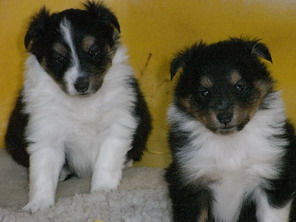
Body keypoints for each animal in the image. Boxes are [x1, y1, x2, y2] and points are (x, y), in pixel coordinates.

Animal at [5, 1, 151, 213]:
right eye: (59, 58)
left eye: (93, 51)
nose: (81, 85)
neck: (82, 102)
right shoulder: (46, 132)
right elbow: (42, 171)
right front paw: (38, 205)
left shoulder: (118, 121)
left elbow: (107, 159)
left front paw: (102, 189)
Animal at [165, 37, 296, 221]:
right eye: (204, 92)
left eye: (239, 86)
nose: (225, 117)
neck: (229, 141)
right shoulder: (189, 186)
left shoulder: (273, 179)